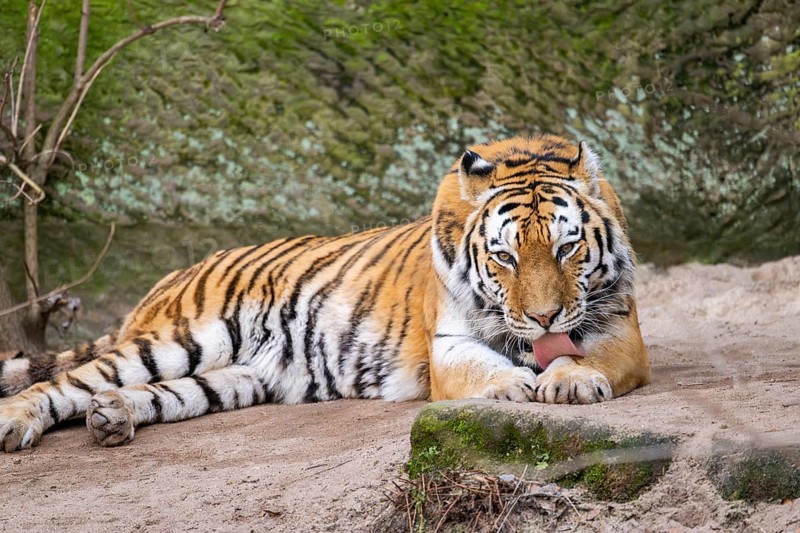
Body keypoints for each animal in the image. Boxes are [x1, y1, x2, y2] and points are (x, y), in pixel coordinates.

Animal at [0, 135, 650, 452]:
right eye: (505, 256)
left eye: (566, 249)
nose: (543, 318)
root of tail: (169, 277)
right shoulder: (448, 344)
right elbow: (480, 370)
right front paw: (513, 387)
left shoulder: (621, 327)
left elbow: (588, 355)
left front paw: (568, 379)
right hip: (180, 341)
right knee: (62, 383)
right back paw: (17, 424)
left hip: (237, 377)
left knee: (154, 395)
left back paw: (111, 417)